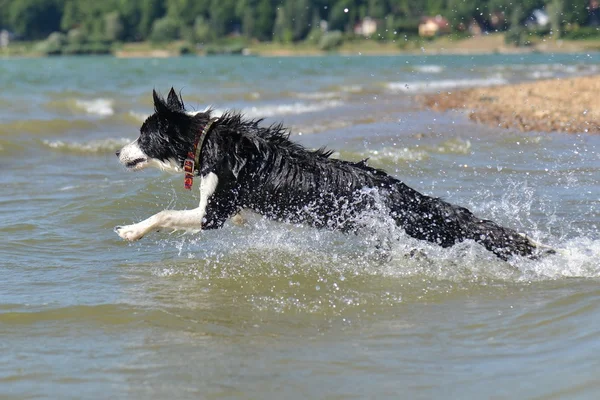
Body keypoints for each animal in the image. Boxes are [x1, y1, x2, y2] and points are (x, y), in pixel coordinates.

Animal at [113, 88, 548, 260]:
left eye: (142, 136)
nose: (117, 151)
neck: (205, 141)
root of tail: (401, 190)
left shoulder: (213, 213)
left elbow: (163, 215)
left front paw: (131, 230)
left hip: (416, 228)